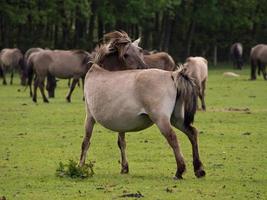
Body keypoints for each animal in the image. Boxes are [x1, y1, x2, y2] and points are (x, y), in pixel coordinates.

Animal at [78, 31, 206, 180]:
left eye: (140, 51)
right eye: (126, 54)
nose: (144, 67)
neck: (99, 70)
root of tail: (173, 75)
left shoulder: (89, 117)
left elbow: (86, 142)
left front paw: (80, 166)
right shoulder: (120, 122)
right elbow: (121, 143)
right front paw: (124, 168)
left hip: (161, 120)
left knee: (173, 138)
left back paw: (179, 171)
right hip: (177, 119)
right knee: (192, 133)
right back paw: (199, 169)